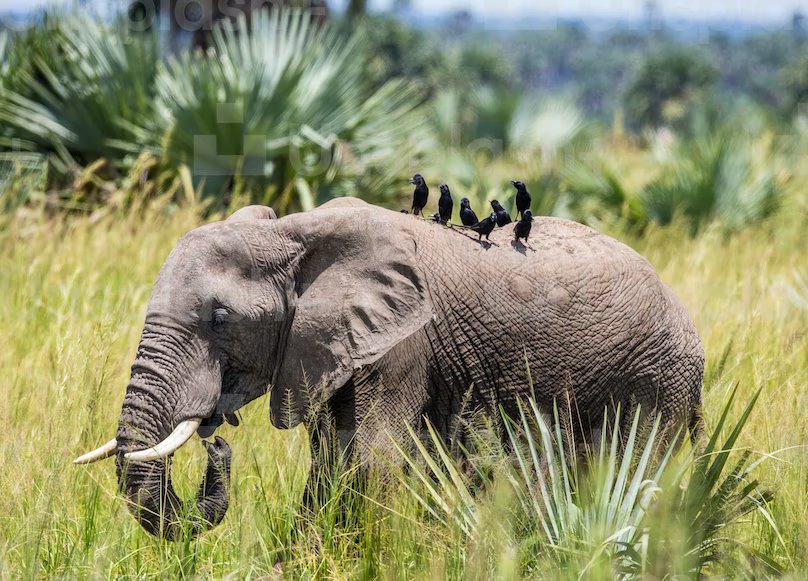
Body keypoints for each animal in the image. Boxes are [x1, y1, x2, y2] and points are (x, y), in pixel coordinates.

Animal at [74, 197, 704, 540]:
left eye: (220, 318)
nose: (217, 443)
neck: (294, 232)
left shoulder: (403, 342)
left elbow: (369, 459)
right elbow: (331, 458)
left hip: (656, 377)